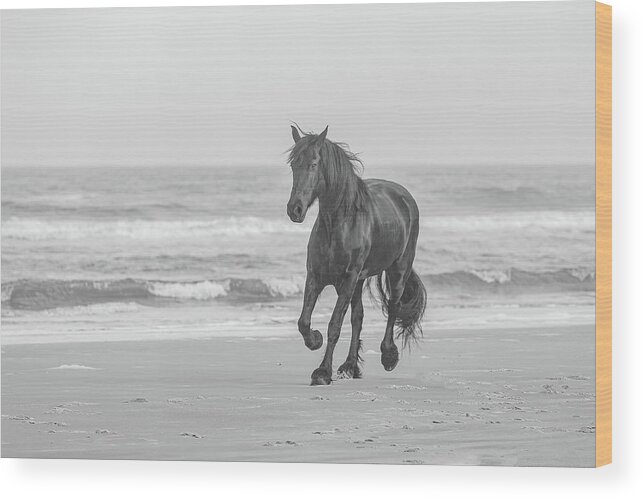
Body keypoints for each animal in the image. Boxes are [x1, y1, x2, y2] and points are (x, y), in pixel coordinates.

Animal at [286, 126, 428, 386]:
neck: (339, 224)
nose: (295, 209)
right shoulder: (316, 276)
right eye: (293, 165)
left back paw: (388, 356)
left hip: (398, 271)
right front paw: (315, 340)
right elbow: (304, 321)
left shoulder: (348, 279)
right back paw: (350, 366)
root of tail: (404, 196)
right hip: (360, 281)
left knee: (393, 308)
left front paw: (322, 372)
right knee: (358, 317)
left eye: (313, 164)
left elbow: (334, 325)